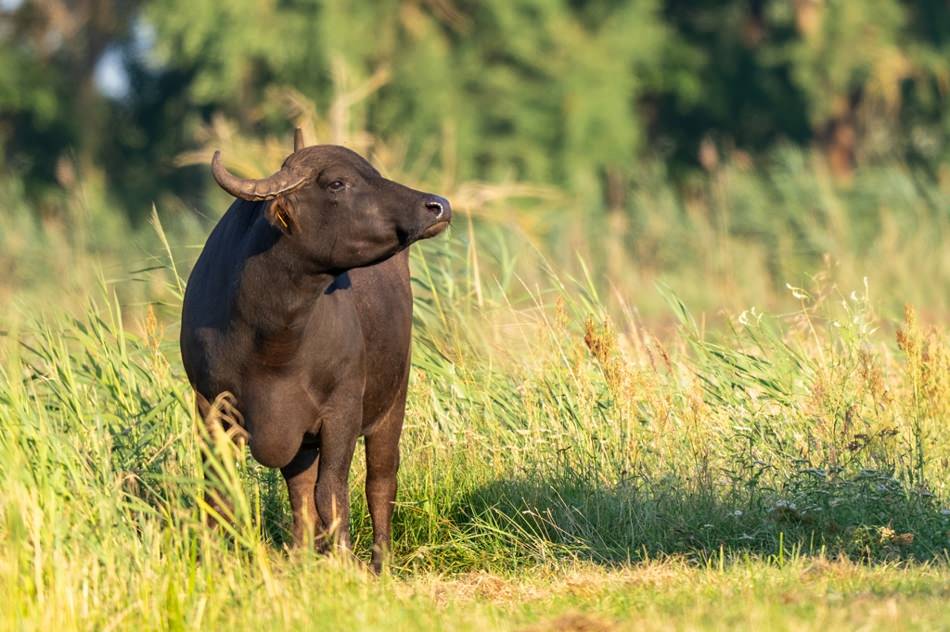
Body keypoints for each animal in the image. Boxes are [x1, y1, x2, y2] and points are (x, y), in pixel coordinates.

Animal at [179, 131, 454, 572]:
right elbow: (221, 493)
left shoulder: (342, 409)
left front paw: (343, 559)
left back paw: (379, 562)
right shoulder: (210, 406)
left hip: (392, 403)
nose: (438, 205)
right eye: (337, 184)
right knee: (300, 492)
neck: (272, 341)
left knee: (380, 482)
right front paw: (215, 560)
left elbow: (332, 491)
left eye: (375, 173)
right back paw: (304, 553)